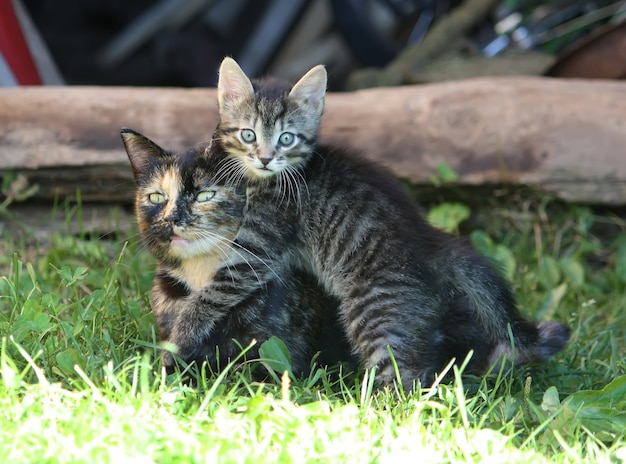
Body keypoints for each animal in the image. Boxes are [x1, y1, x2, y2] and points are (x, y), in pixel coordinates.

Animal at [201, 58, 572, 390]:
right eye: (249, 135)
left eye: (287, 138)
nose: (264, 158)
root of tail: (432, 240)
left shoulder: (259, 244)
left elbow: (216, 289)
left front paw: (187, 333)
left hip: (376, 307)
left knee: (403, 377)